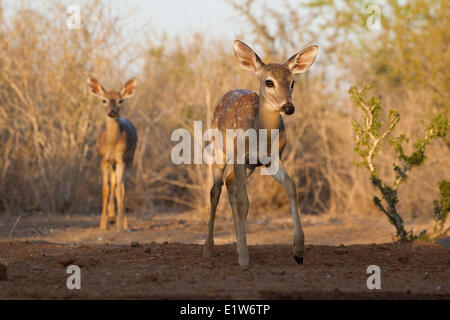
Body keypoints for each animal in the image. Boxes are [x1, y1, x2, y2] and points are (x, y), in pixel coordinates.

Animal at [87, 76, 138, 231]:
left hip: (130, 160)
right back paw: (111, 217)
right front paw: (103, 224)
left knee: (122, 187)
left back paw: (124, 223)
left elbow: (119, 191)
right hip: (113, 164)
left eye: (120, 100)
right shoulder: (103, 160)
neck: (112, 145)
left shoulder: (121, 160)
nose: (112, 113)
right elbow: (105, 189)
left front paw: (120, 225)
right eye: (103, 100)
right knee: (114, 182)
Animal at [202, 40, 318, 268]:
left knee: (230, 183)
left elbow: (291, 187)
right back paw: (209, 249)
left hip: (250, 166)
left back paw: (237, 246)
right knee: (215, 190)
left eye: (292, 82)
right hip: (219, 152)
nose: (288, 107)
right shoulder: (239, 156)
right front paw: (244, 259)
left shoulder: (272, 159)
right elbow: (244, 202)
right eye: (269, 82)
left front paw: (298, 251)